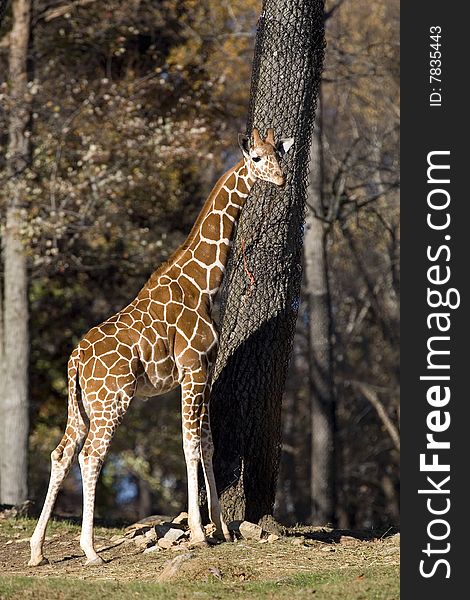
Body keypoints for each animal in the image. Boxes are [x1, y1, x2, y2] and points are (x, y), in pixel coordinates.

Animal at [28, 127, 294, 568]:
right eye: (256, 158)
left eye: (278, 153)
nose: (282, 178)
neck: (204, 283)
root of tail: (76, 360)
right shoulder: (191, 368)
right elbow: (189, 444)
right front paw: (199, 534)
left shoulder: (205, 370)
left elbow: (208, 442)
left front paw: (221, 529)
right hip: (113, 399)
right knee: (90, 455)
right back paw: (91, 551)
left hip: (80, 406)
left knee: (61, 452)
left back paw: (37, 551)